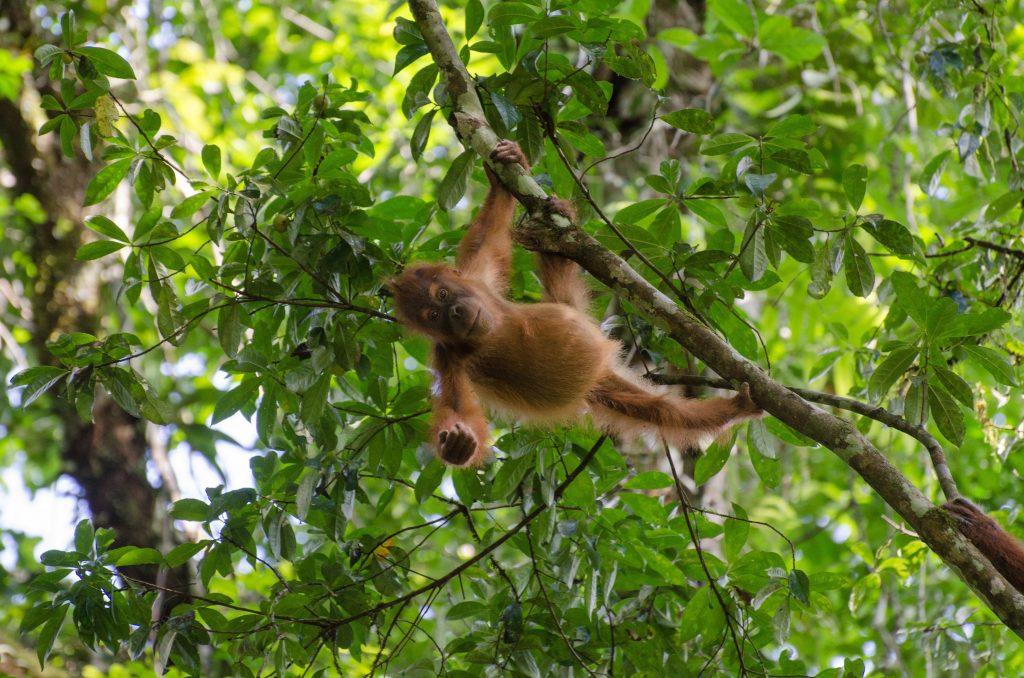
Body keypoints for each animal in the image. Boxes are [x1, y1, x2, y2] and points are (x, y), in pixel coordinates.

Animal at [389, 139, 761, 467]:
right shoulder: (446, 359)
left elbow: (489, 236)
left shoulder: (478, 280)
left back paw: (557, 223)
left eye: (442, 295)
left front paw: (502, 173)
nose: (452, 312)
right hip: (602, 385)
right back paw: (734, 411)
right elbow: (457, 408)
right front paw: (457, 444)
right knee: (661, 411)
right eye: (433, 316)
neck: (492, 328)